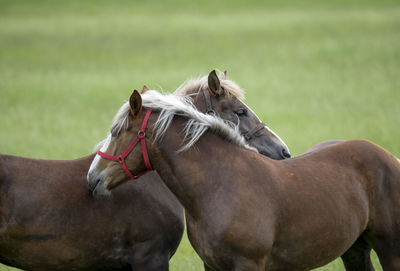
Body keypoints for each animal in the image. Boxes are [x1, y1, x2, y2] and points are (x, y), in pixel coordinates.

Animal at [89, 90, 400, 271]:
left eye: (117, 132)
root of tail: (390, 158)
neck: (219, 185)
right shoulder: (213, 266)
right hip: (355, 250)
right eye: (240, 111)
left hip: (389, 250)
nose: (93, 178)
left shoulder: (248, 264)